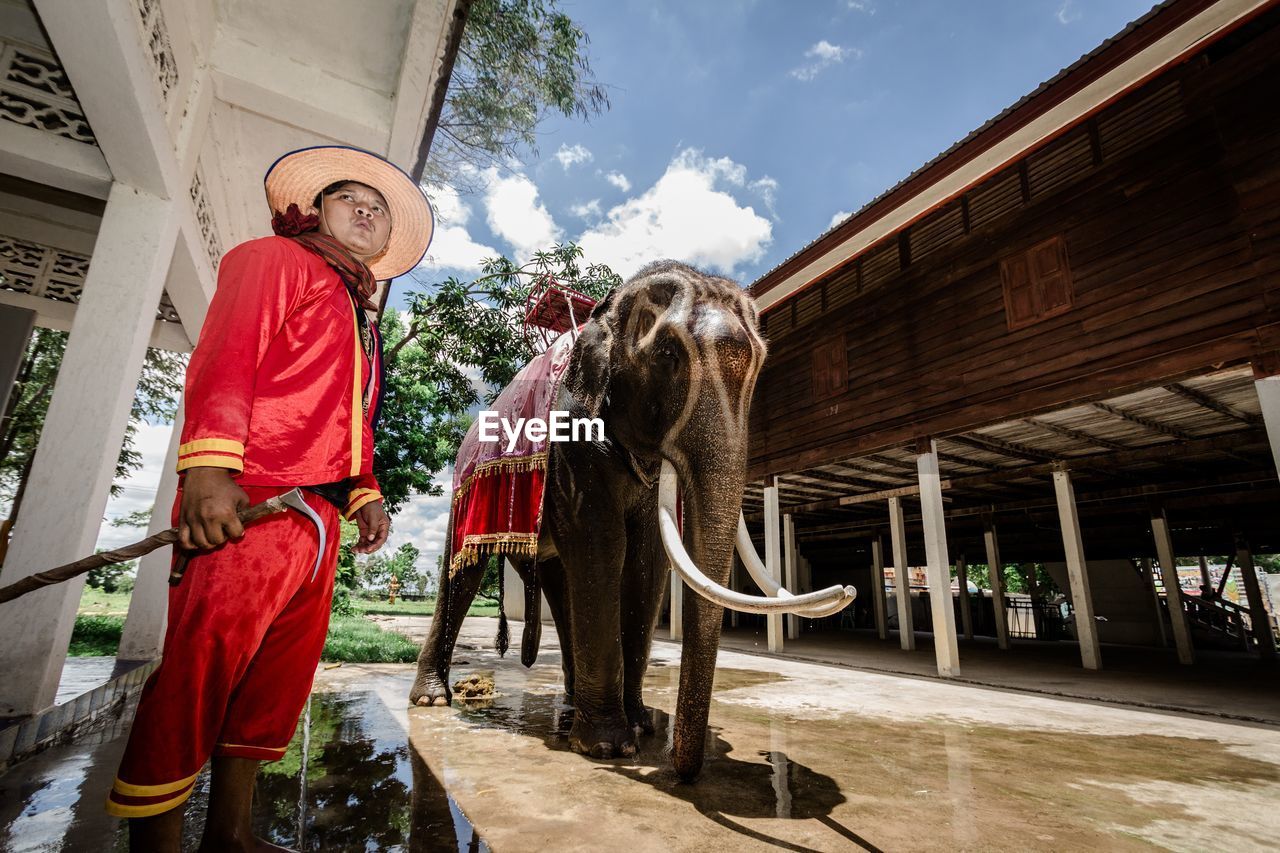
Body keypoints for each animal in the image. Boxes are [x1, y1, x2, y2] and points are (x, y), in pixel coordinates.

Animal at [407, 258, 849, 778]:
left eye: (761, 366)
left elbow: (646, 560)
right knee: (463, 572)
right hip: (465, 488)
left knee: (558, 581)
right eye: (668, 356)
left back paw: (569, 706)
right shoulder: (573, 439)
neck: (607, 312)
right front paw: (610, 747)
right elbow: (603, 545)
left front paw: (641, 726)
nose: (683, 769)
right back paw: (433, 701)